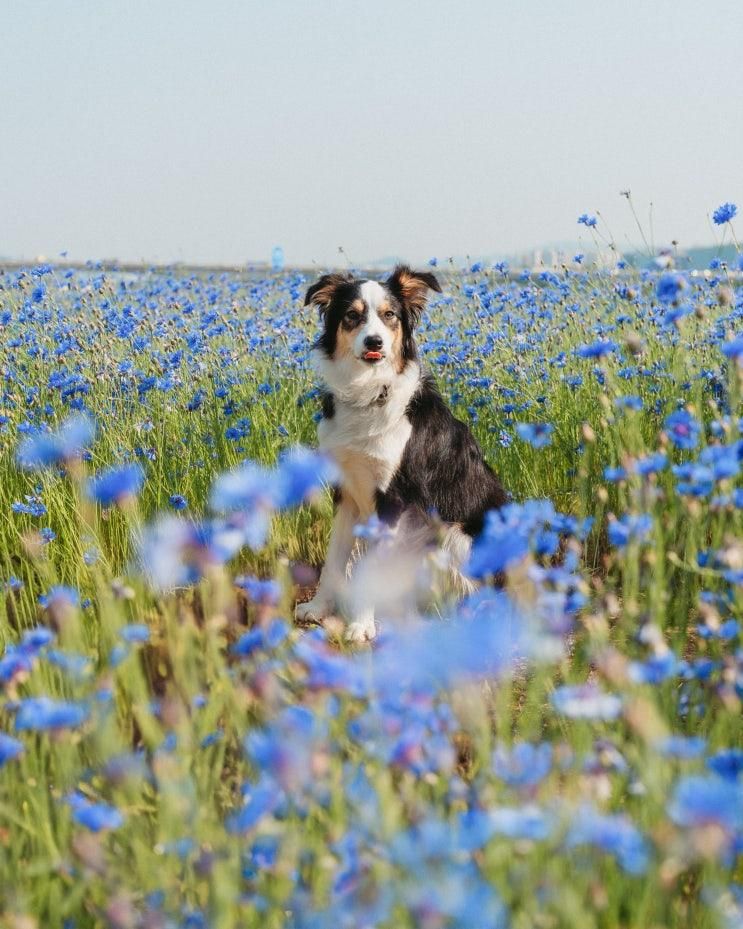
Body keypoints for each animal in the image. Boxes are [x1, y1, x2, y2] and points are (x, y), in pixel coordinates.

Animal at [294, 260, 508, 640]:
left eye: (389, 315)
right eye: (352, 315)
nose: (375, 341)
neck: (368, 395)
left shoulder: (392, 500)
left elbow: (368, 572)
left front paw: (360, 627)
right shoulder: (345, 490)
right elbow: (333, 561)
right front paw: (319, 609)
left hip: (455, 536)